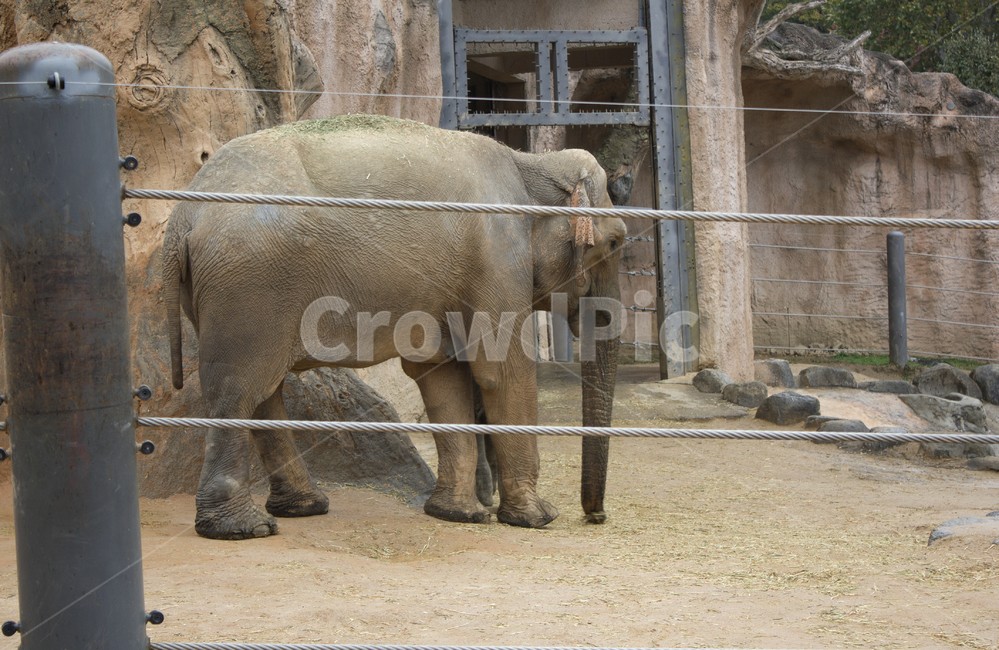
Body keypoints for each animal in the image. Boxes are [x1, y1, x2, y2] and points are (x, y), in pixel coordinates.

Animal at [163, 114, 625, 539]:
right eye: (616, 242)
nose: (597, 516)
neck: (530, 162)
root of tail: (184, 215)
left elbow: (440, 375)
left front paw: (457, 514)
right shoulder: (499, 253)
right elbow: (501, 371)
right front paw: (537, 517)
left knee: (262, 393)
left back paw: (302, 507)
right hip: (251, 284)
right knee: (239, 390)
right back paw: (243, 528)